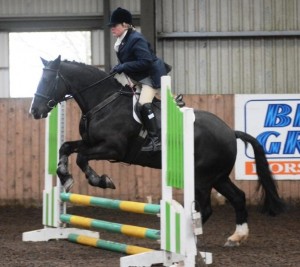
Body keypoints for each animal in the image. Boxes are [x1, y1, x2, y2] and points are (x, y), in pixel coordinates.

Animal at [30, 55, 286, 248]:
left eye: (48, 81)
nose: (35, 111)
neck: (103, 101)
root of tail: (230, 131)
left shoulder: (112, 148)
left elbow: (82, 158)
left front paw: (101, 180)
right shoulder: (90, 142)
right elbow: (66, 147)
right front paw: (65, 176)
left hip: (202, 178)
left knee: (206, 207)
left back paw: (184, 240)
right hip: (218, 176)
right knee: (238, 197)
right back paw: (236, 237)